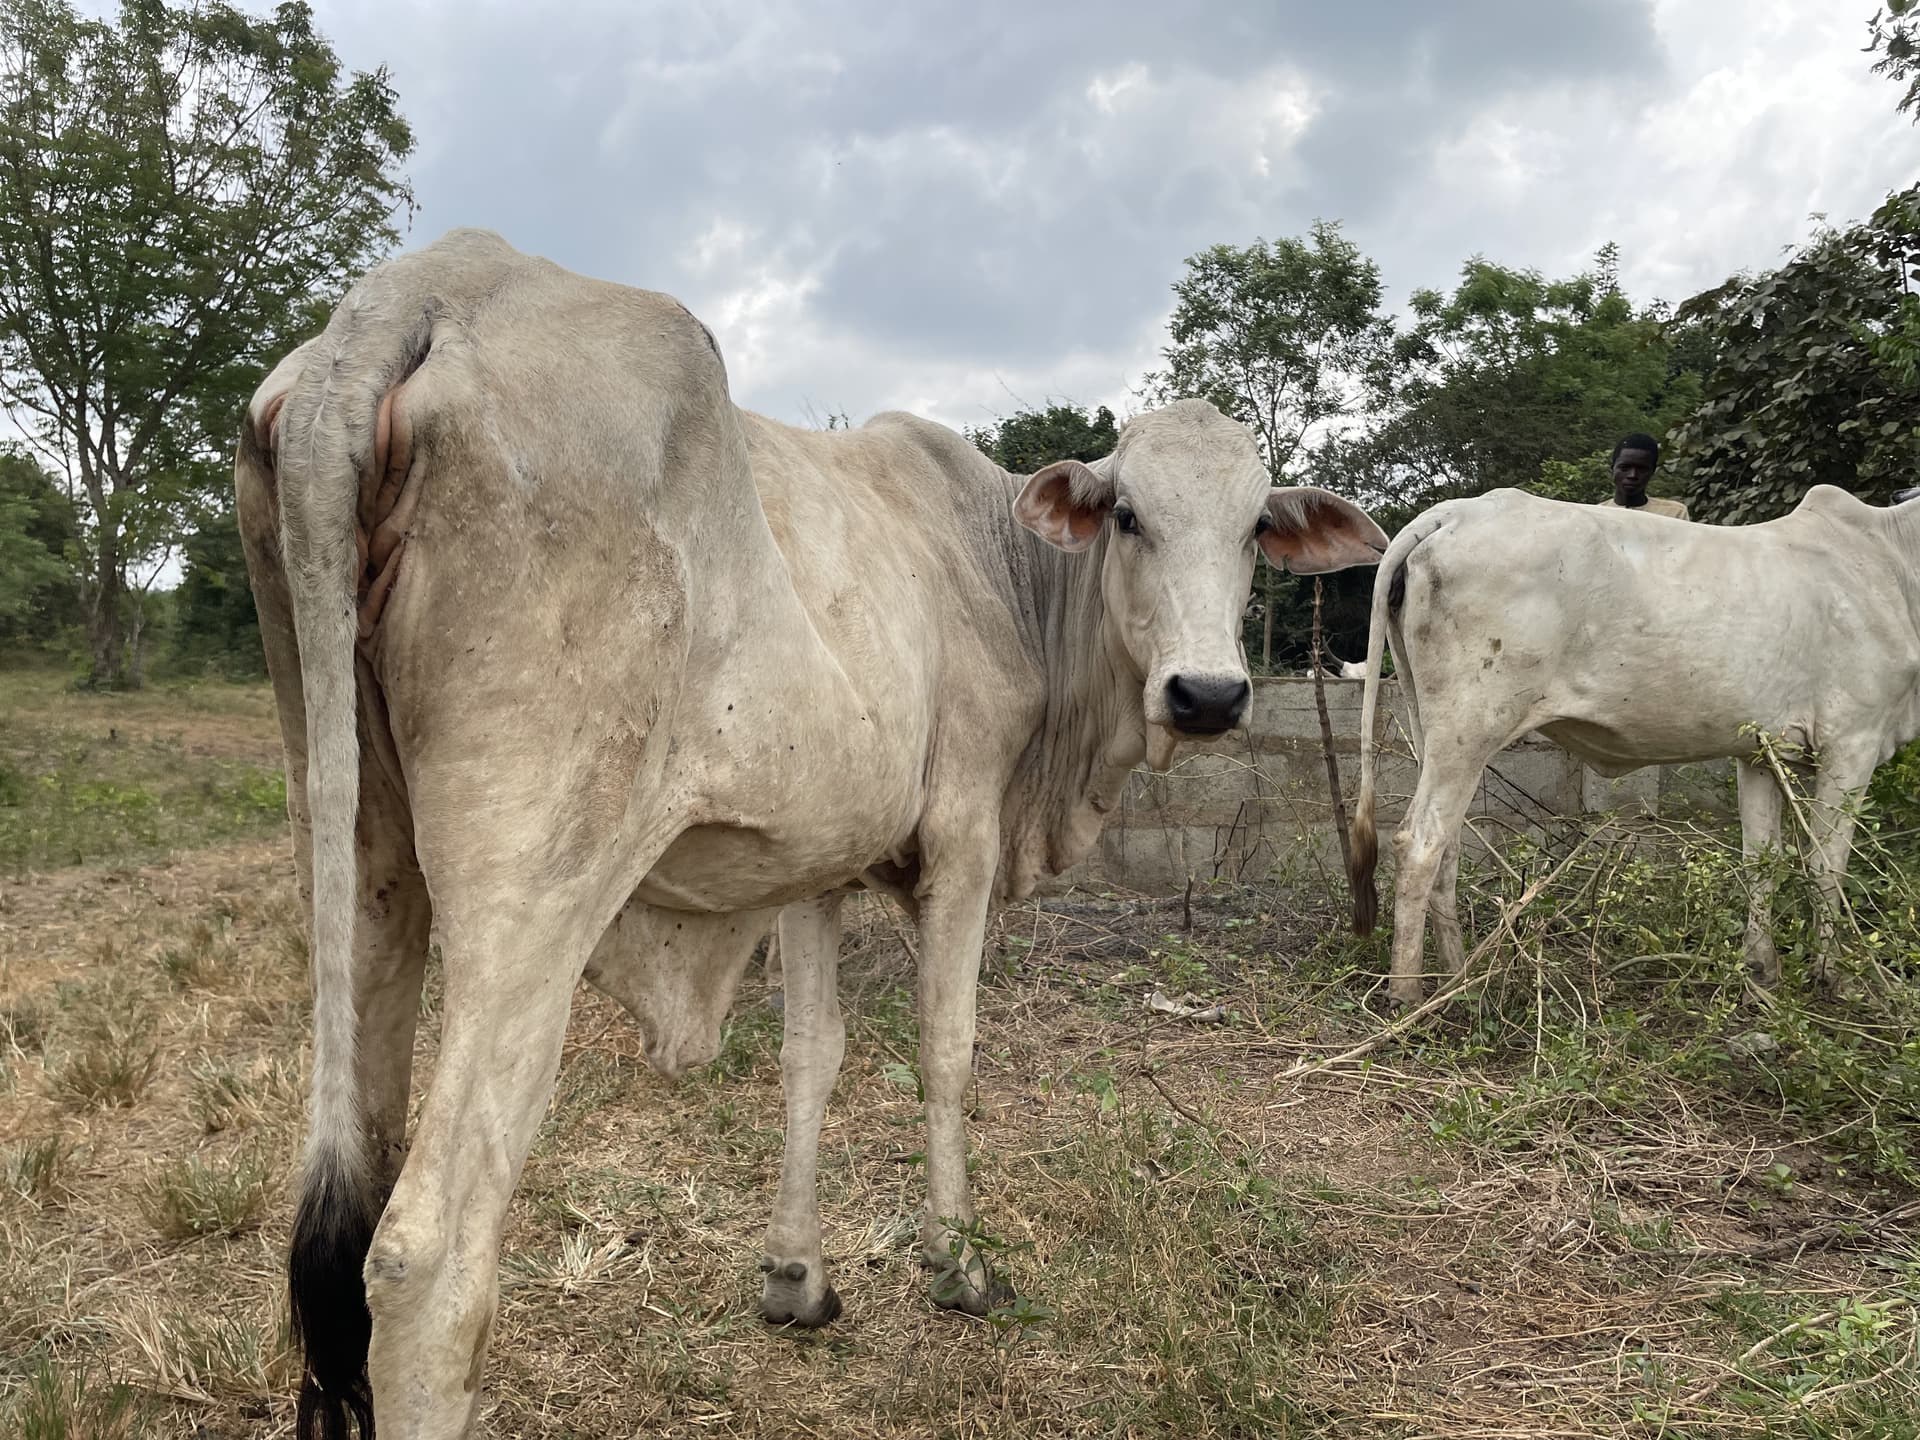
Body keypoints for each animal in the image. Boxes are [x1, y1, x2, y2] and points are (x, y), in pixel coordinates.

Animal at [237, 228, 1388, 1438]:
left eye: (1256, 527)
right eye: (1129, 517)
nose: (1208, 694)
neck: (1006, 571)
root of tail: (432, 285)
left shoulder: (809, 869)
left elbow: (810, 1055)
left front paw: (796, 1278)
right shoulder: (964, 837)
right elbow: (946, 1045)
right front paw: (958, 1264)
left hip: (361, 853)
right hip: (533, 892)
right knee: (423, 1253)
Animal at [1346, 485, 1920, 1010]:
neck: (1893, 560)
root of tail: (1455, 512)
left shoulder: (1759, 753)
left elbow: (1763, 861)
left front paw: (1761, 974)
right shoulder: (1853, 740)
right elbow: (1827, 865)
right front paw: (1839, 978)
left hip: (1434, 726)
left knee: (1447, 846)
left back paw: (1459, 978)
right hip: (1470, 726)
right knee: (1419, 842)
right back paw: (1409, 995)